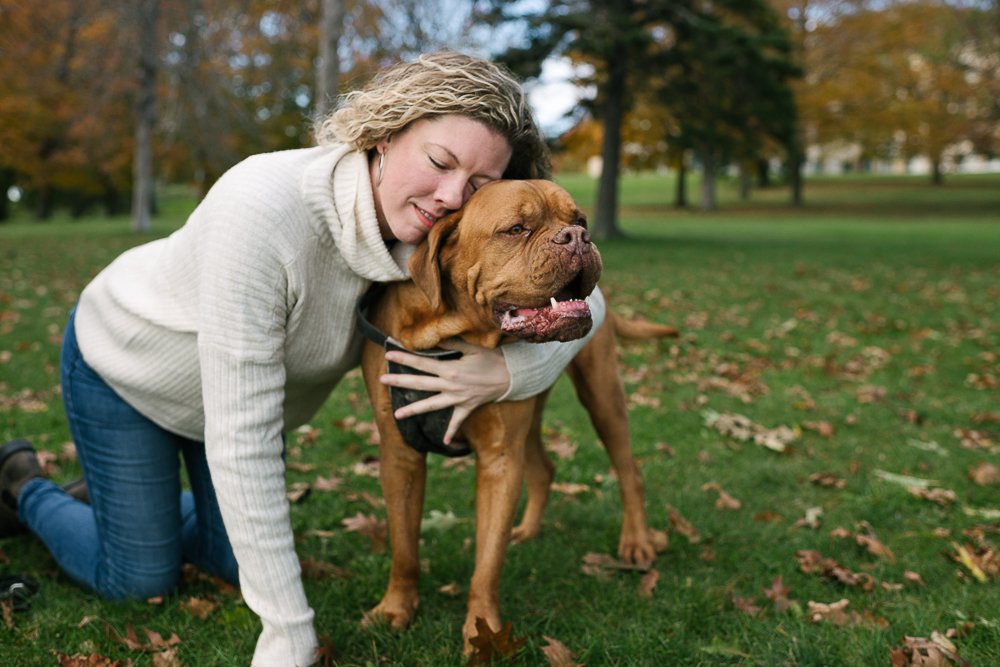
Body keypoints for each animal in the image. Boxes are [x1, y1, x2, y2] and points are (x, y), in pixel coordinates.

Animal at [356, 179, 676, 652]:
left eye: (579, 219)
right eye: (516, 229)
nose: (578, 237)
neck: (450, 335)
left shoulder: (499, 459)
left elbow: (487, 562)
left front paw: (481, 632)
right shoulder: (400, 456)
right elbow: (404, 547)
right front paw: (395, 608)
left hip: (602, 395)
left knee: (628, 469)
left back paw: (636, 541)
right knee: (544, 468)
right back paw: (527, 530)